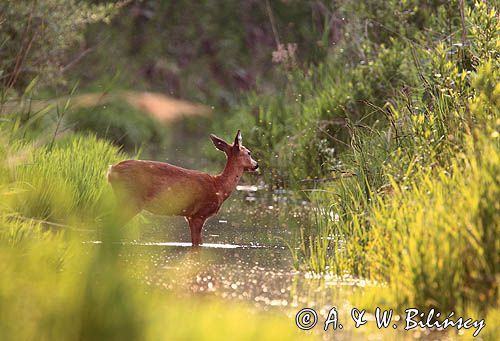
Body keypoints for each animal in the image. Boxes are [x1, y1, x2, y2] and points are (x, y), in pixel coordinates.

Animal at [108, 129, 260, 244]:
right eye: (249, 153)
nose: (256, 165)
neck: (219, 187)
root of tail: (111, 170)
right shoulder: (199, 214)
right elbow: (198, 244)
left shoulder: (189, 215)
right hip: (130, 200)